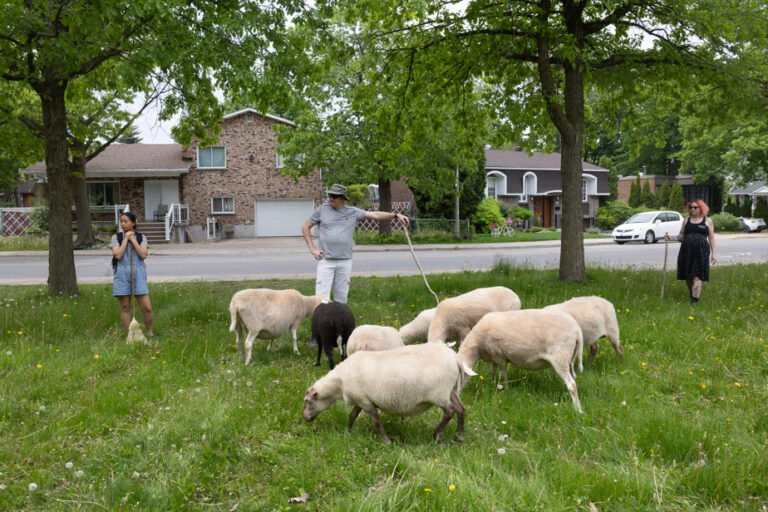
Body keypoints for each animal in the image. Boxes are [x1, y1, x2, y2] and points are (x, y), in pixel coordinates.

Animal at [304, 340, 476, 444]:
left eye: (308, 401)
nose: (304, 417)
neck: (339, 383)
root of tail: (455, 359)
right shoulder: (361, 399)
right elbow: (352, 415)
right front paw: (348, 432)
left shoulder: (365, 402)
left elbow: (376, 420)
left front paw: (386, 441)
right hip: (451, 391)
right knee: (461, 409)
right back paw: (459, 437)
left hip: (438, 393)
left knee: (450, 411)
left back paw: (436, 435)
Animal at [456, 308, 584, 412]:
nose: (457, 396)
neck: (477, 344)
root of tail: (577, 330)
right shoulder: (494, 357)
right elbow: (492, 372)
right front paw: (492, 385)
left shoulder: (500, 356)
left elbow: (503, 374)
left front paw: (506, 388)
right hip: (570, 358)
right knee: (574, 378)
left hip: (560, 356)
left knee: (571, 384)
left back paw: (578, 409)